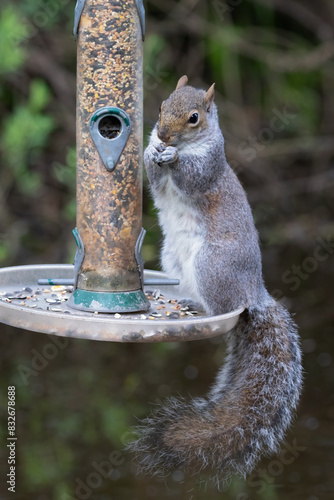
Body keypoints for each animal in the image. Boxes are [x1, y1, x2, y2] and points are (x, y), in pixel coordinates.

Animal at [130, 76, 302, 482]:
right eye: (161, 106)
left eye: (194, 118)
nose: (163, 134)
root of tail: (255, 293)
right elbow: (153, 177)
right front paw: (152, 150)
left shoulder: (208, 166)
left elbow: (191, 177)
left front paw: (172, 158)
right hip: (173, 261)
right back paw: (186, 302)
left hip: (212, 266)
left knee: (223, 307)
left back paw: (207, 310)